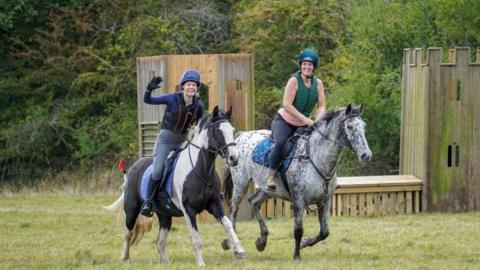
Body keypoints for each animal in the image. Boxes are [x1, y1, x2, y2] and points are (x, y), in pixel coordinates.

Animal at [106, 106, 246, 266]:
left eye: (232, 130)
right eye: (218, 131)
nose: (234, 158)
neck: (201, 170)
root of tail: (133, 168)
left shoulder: (214, 204)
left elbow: (228, 224)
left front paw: (239, 250)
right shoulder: (189, 210)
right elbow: (196, 238)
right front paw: (201, 263)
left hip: (164, 215)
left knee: (160, 241)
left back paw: (165, 263)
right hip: (131, 209)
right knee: (128, 233)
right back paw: (125, 257)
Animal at [221, 104, 372, 260]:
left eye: (363, 126)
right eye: (349, 126)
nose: (366, 155)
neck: (316, 158)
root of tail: (241, 135)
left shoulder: (324, 201)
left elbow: (324, 232)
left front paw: (305, 243)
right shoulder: (298, 200)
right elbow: (298, 230)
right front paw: (297, 256)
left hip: (268, 189)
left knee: (254, 201)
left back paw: (262, 241)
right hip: (241, 183)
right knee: (233, 208)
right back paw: (231, 243)